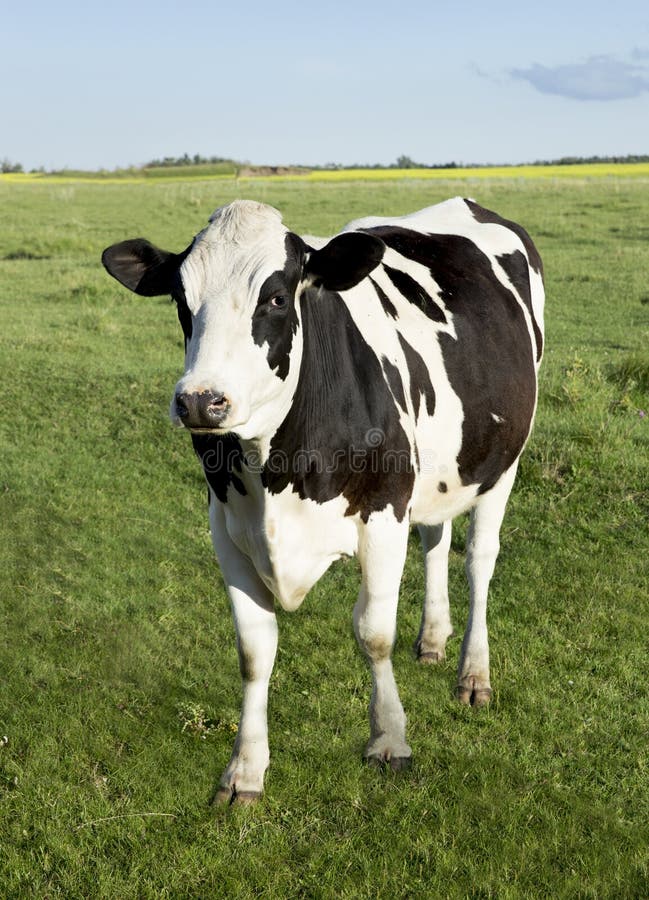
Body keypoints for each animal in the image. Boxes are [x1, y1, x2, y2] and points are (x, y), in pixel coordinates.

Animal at [101, 200, 544, 804]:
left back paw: (473, 673)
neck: (278, 469)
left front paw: (389, 740)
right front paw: (244, 770)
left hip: (502, 461)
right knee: (435, 536)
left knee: (479, 560)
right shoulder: (227, 531)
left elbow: (374, 634)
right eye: (180, 299)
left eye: (276, 298)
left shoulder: (384, 514)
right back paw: (432, 639)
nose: (200, 401)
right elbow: (254, 650)